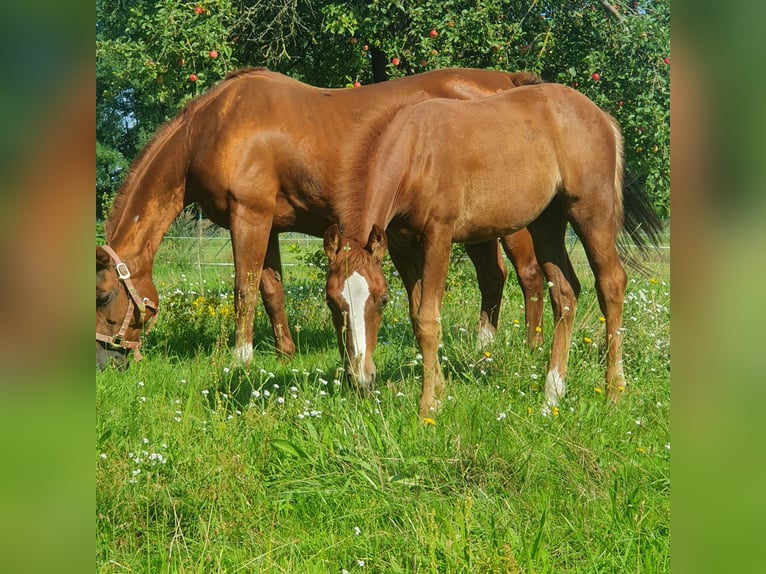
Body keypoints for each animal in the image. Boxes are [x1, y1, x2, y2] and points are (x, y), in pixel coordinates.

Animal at [97, 68, 552, 374]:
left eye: (103, 296)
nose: (105, 361)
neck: (214, 127)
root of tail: (508, 82)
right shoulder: (269, 224)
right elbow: (271, 290)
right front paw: (285, 352)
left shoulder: (249, 216)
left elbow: (244, 289)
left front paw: (241, 359)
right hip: (477, 227)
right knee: (493, 276)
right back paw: (482, 348)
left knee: (528, 276)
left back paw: (530, 350)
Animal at [320, 82, 664, 418]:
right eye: (331, 302)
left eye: (381, 301)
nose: (360, 378)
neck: (416, 153)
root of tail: (602, 117)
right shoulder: (401, 247)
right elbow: (417, 316)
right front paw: (440, 392)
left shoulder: (438, 237)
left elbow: (429, 320)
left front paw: (427, 406)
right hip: (547, 223)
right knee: (565, 293)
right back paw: (552, 395)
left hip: (592, 211)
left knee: (611, 284)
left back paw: (614, 392)